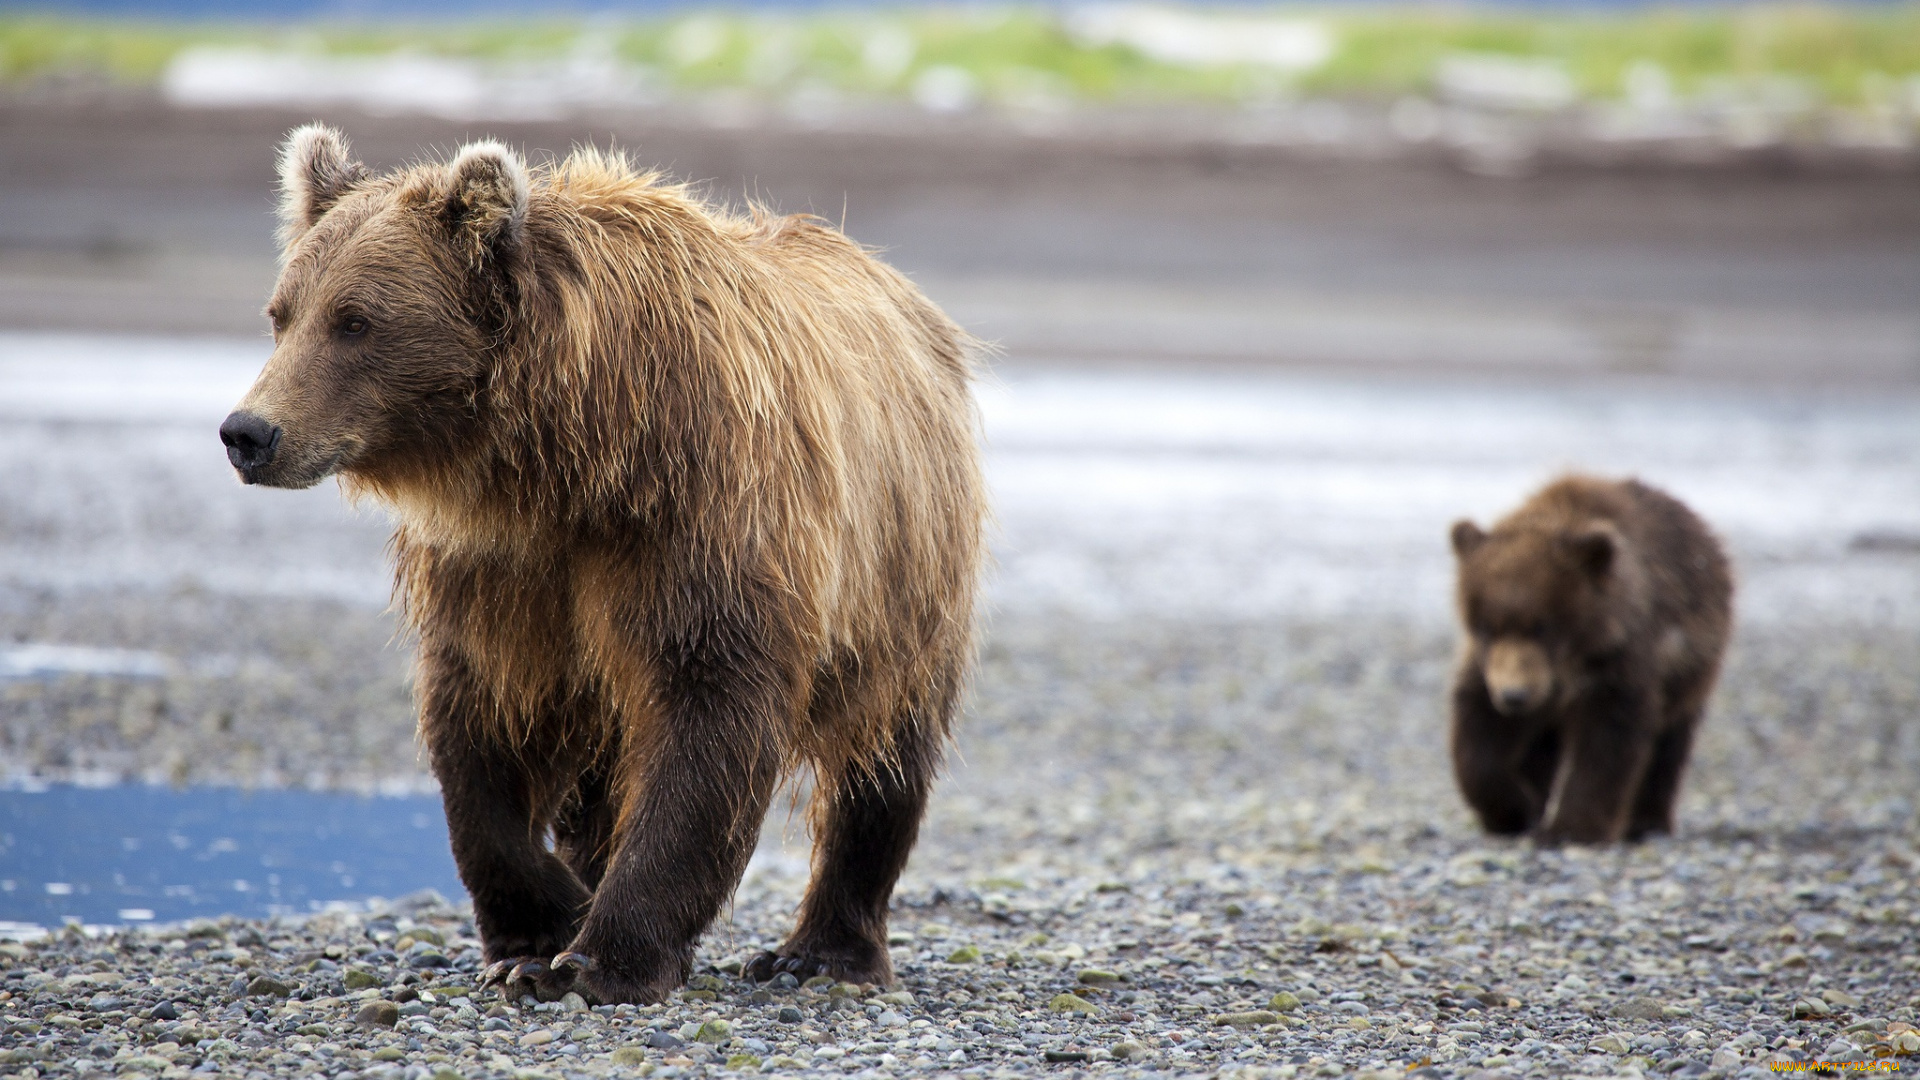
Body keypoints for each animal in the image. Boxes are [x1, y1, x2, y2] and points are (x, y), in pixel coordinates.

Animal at [217, 125, 983, 999]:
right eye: (282, 313)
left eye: (355, 320)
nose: (249, 432)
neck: (574, 457)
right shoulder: (503, 569)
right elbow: (479, 725)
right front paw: (539, 927)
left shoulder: (703, 520)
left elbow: (708, 712)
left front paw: (603, 953)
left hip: (904, 571)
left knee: (883, 756)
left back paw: (820, 951)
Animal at [1443, 474, 1735, 845]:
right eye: (1486, 626)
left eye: (1542, 626)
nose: (1514, 696)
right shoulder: (1490, 667)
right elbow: (1479, 731)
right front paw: (1516, 808)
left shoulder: (1619, 660)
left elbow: (1609, 738)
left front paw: (1569, 828)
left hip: (1691, 666)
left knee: (1669, 743)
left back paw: (1646, 823)